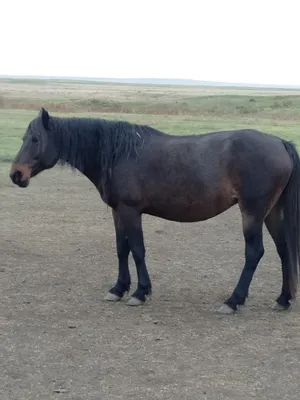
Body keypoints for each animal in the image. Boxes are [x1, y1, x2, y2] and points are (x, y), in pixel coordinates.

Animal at [9, 108, 300, 314]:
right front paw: (119, 288)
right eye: (24, 138)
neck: (117, 153)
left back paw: (233, 300)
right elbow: (122, 249)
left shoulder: (130, 211)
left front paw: (140, 292)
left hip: (252, 212)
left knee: (254, 253)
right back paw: (283, 299)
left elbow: (137, 250)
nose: (16, 175)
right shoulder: (117, 212)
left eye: (35, 139)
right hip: (271, 213)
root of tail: (280, 142)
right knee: (284, 250)